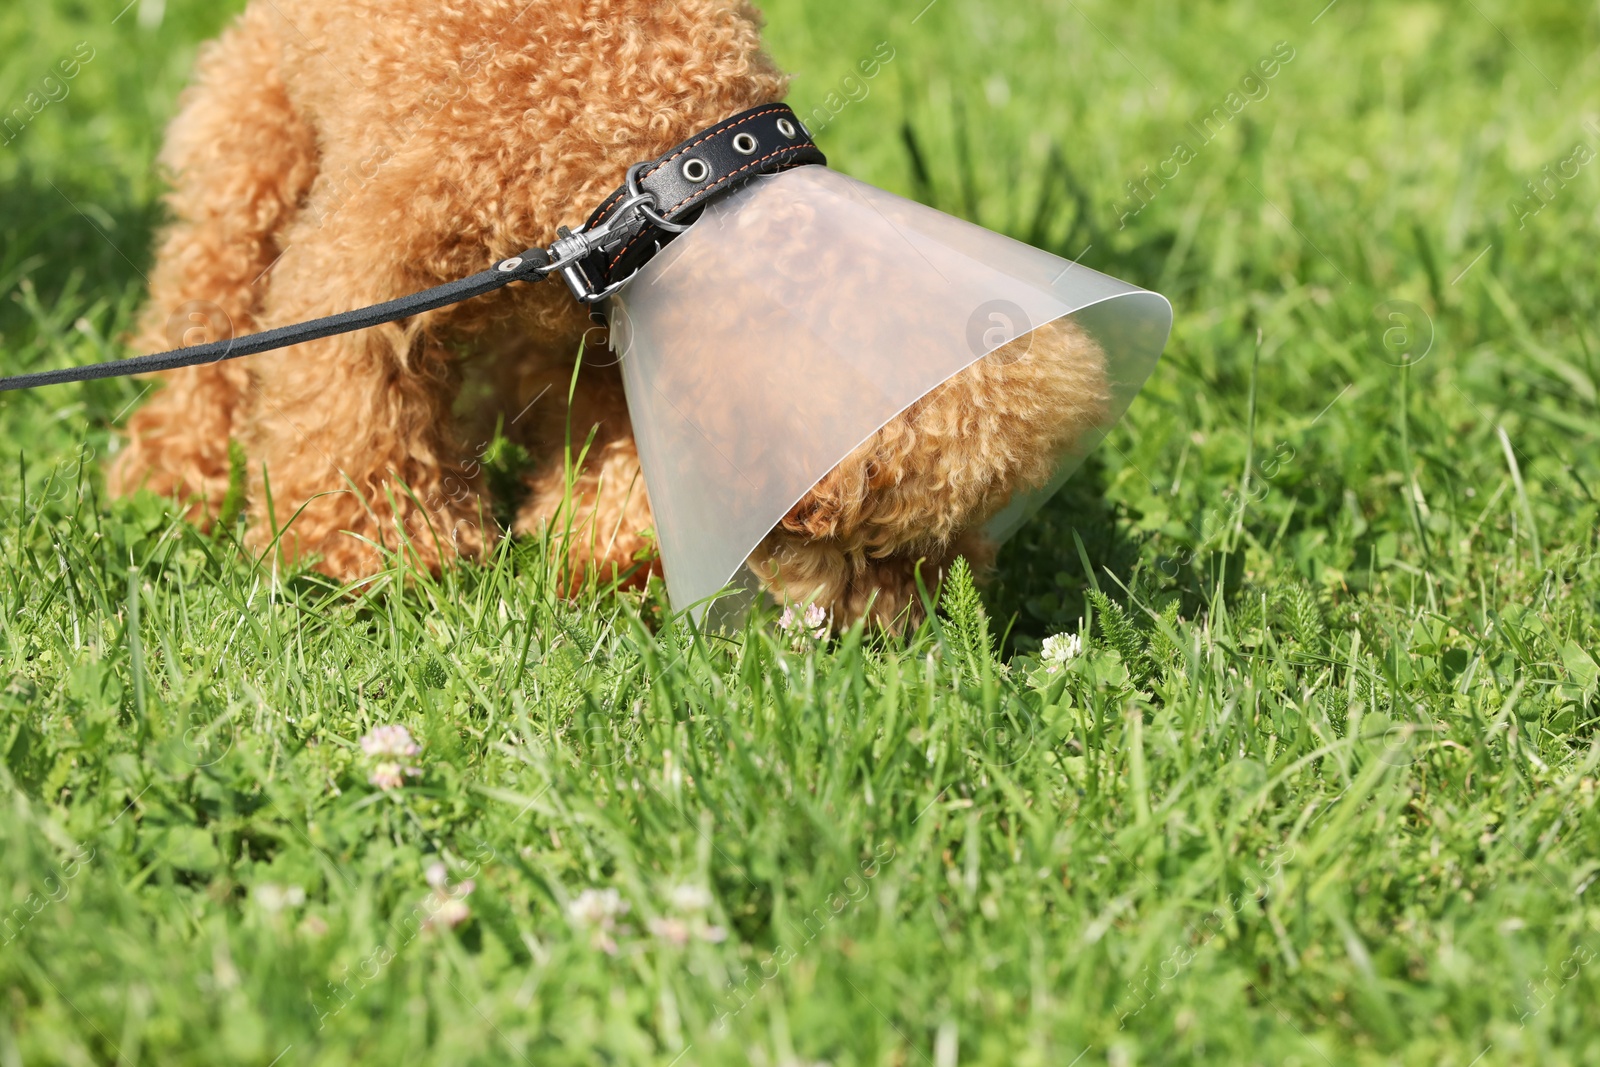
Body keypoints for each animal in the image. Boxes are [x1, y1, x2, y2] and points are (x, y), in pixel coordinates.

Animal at [112, 0, 1107, 627]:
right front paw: (379, 555)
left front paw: (604, 556)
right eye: (876, 545)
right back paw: (172, 472)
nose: (913, 637)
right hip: (257, 129)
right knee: (208, 294)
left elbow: (616, 451)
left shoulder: (616, 325)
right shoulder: (366, 268)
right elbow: (353, 413)